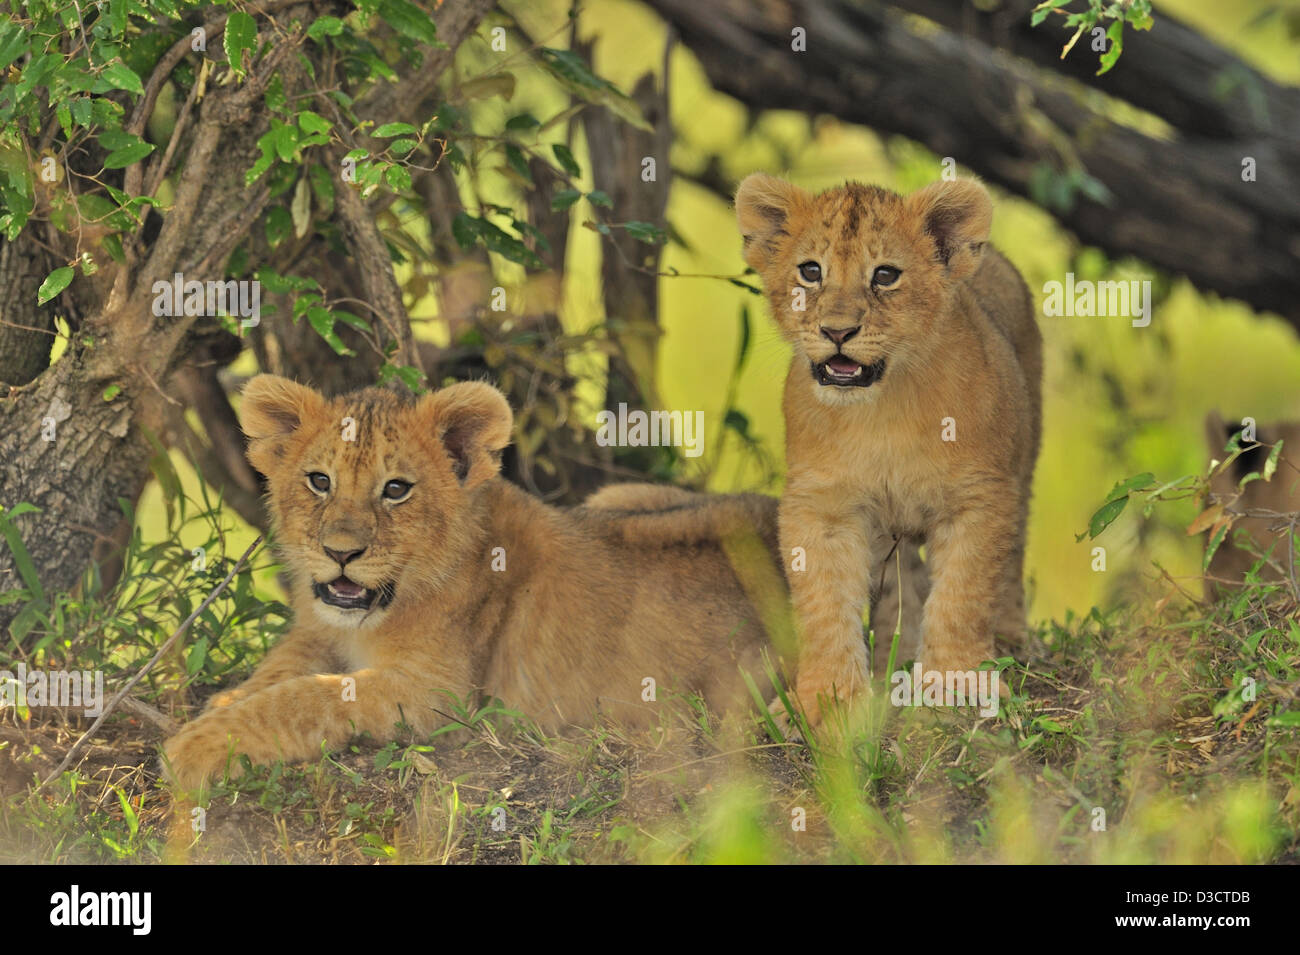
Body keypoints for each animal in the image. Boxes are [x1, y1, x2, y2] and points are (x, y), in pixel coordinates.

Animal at [162, 376, 792, 788]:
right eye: (319, 481)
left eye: (396, 489)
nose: (339, 553)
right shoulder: (319, 629)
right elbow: (279, 670)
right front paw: (223, 703)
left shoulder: (438, 697)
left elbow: (302, 697)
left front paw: (195, 746)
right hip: (617, 497)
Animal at [735, 173, 1041, 726]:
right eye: (810, 271)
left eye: (885, 275)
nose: (837, 331)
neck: (881, 410)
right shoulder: (822, 506)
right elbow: (824, 607)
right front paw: (824, 700)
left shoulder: (979, 497)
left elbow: (963, 596)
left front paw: (957, 685)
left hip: (1023, 463)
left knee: (1012, 558)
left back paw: (1008, 640)